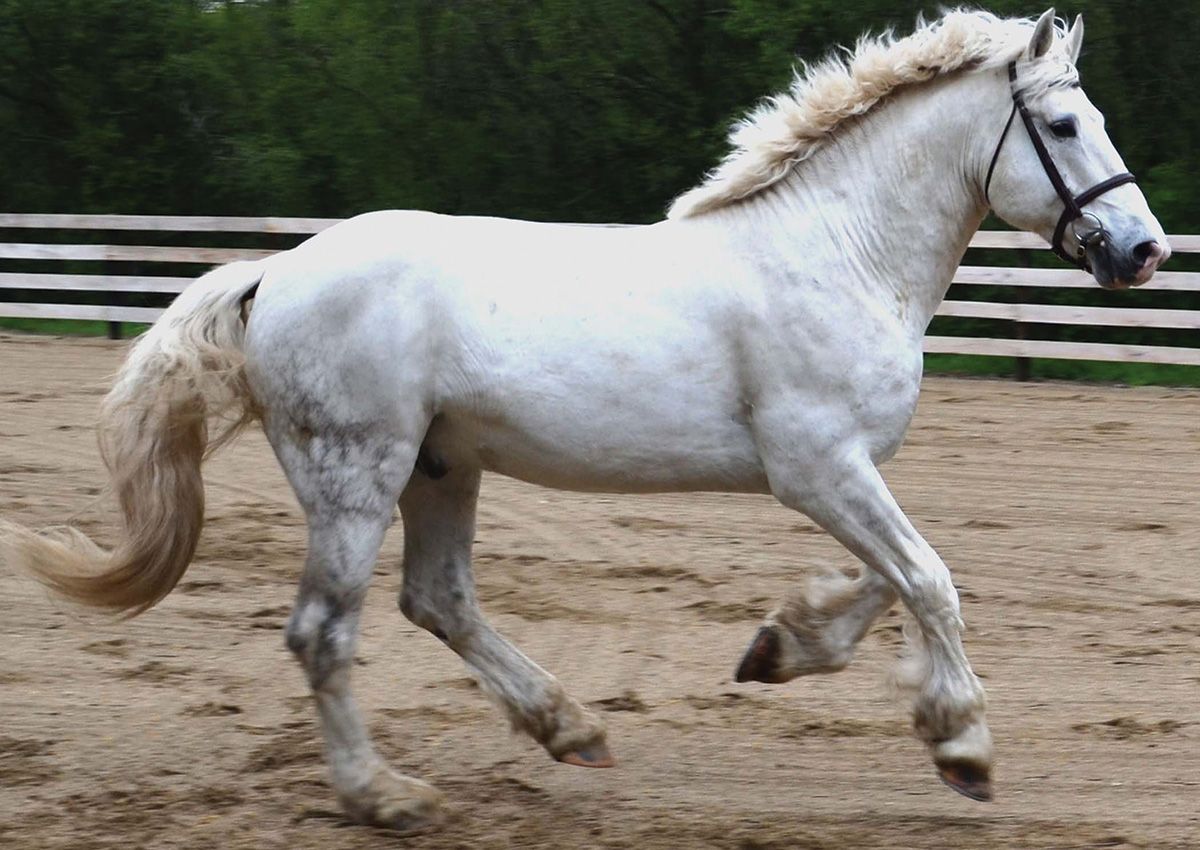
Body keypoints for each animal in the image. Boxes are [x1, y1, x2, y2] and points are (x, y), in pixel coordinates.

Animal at [0, 6, 1166, 830]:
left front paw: (781, 646)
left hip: (438, 467)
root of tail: (274, 272)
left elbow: (891, 580)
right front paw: (962, 747)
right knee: (325, 633)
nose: (1143, 249)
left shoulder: (841, 470)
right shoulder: (817, 466)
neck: (837, 253)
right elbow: (929, 578)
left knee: (437, 600)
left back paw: (569, 729)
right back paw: (387, 797)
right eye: (1065, 123)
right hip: (356, 473)